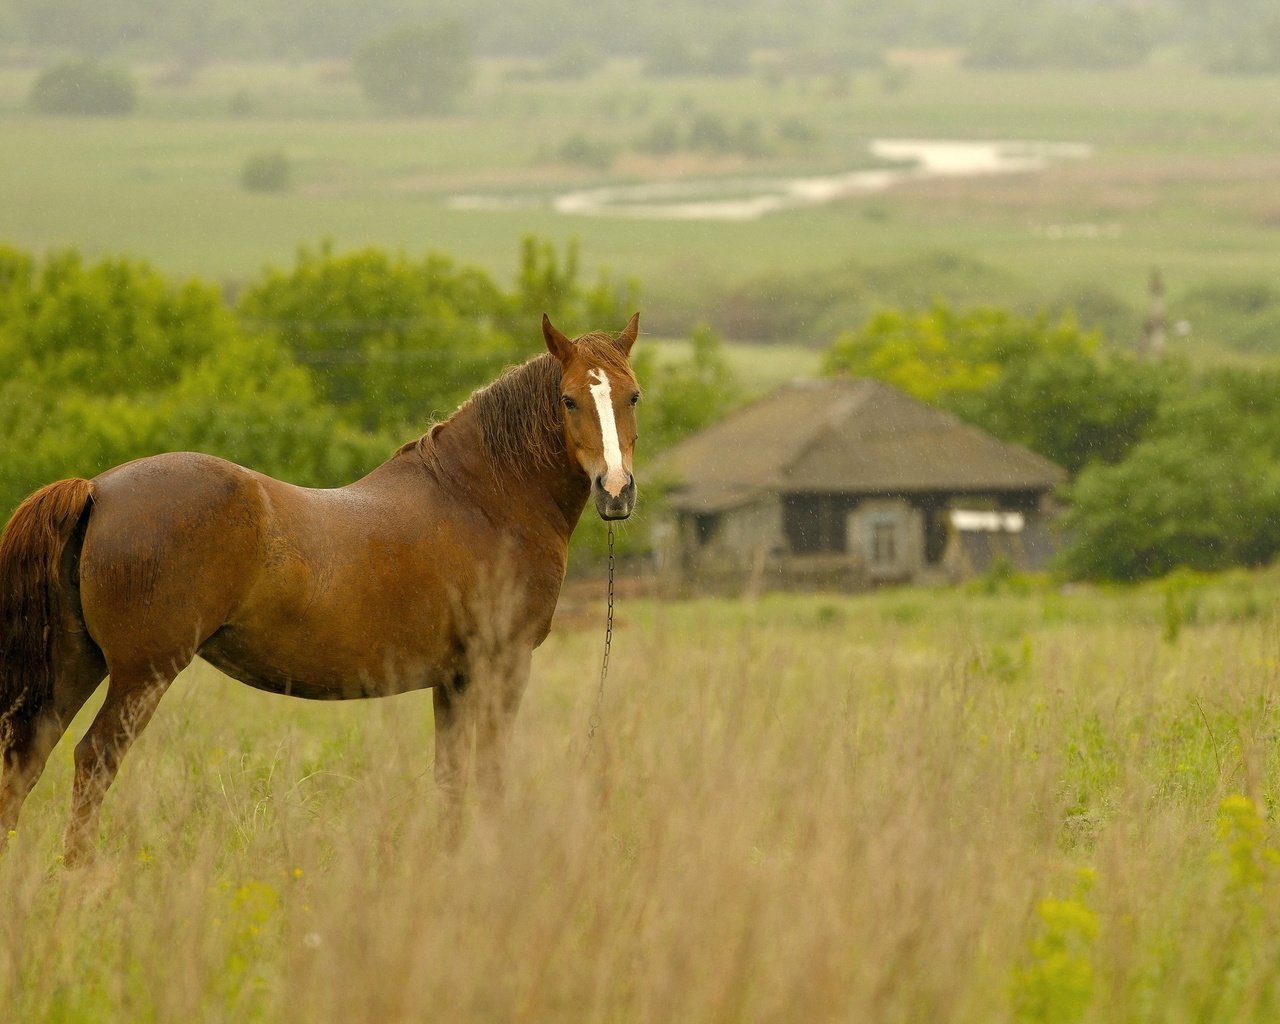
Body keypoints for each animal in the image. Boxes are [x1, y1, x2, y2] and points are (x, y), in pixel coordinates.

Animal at [0, 312, 640, 865]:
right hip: (141, 674)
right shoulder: (500, 665)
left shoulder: (453, 680)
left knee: (25, 757)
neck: (482, 499)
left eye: (632, 396)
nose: (616, 490)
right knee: (93, 759)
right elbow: (489, 771)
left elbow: (452, 776)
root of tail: (97, 489)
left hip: (76, 665)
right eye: (569, 399)